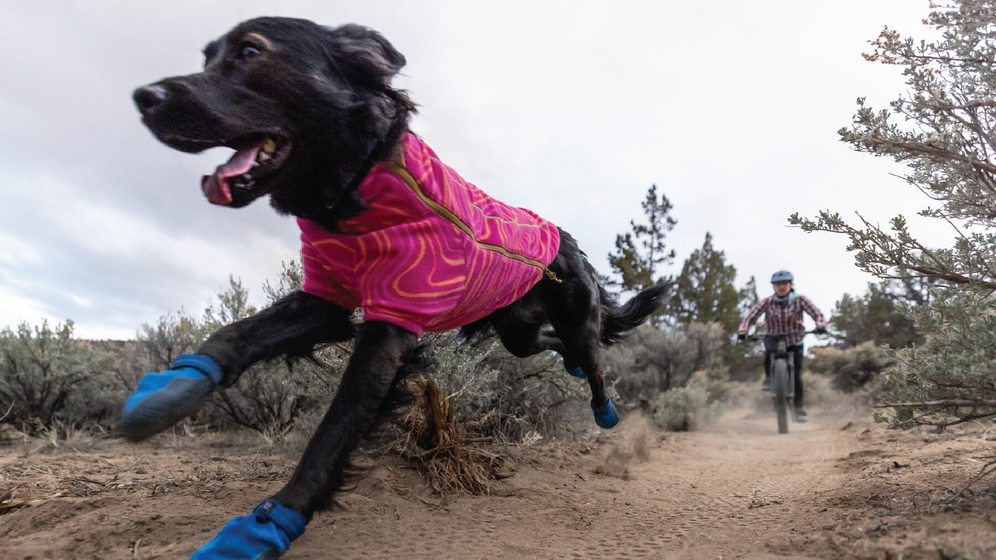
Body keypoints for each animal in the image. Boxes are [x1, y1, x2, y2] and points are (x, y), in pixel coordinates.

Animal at [128, 15, 664, 556]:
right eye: (207, 57)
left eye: (250, 51)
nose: (143, 97)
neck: (359, 189)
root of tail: (568, 240)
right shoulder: (326, 298)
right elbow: (234, 335)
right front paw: (167, 391)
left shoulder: (389, 326)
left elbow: (331, 434)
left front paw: (264, 525)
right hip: (517, 330)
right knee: (549, 343)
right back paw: (569, 365)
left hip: (574, 316)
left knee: (594, 360)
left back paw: (604, 408)